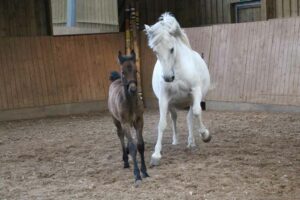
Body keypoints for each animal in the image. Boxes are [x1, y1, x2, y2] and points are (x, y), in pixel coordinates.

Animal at [145, 12, 211, 166]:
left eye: (172, 49)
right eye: (155, 51)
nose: (168, 77)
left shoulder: (195, 91)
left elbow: (197, 112)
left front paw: (205, 135)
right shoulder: (164, 98)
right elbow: (162, 124)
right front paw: (156, 155)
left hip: (191, 100)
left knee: (190, 117)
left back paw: (191, 142)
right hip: (172, 103)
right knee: (174, 117)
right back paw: (176, 141)